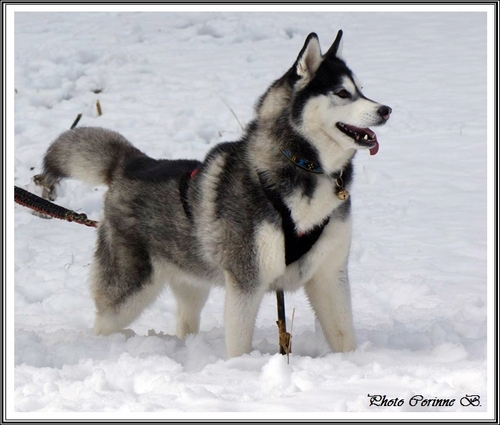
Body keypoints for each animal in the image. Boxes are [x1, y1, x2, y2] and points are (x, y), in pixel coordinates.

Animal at [38, 30, 390, 354]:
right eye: (342, 93)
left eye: (362, 90)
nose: (386, 109)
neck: (304, 166)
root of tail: (133, 162)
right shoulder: (245, 279)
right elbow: (239, 343)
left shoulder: (330, 275)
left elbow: (344, 336)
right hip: (131, 288)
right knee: (105, 320)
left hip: (191, 278)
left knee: (185, 318)